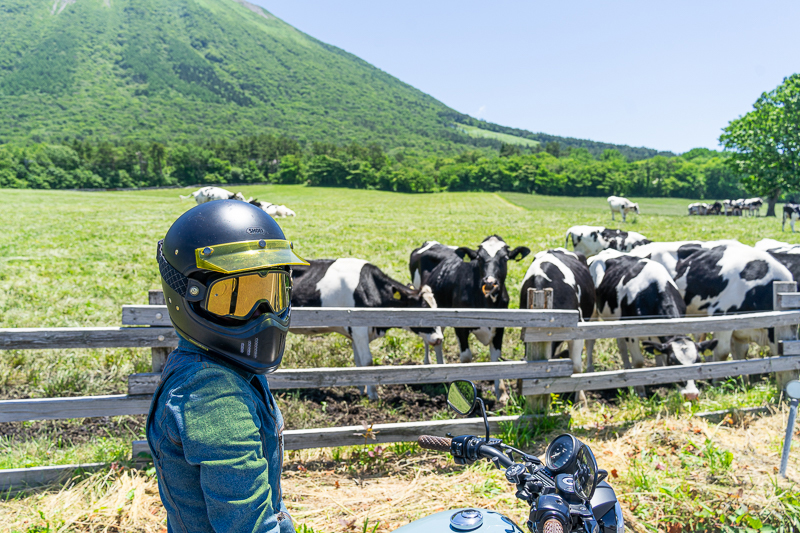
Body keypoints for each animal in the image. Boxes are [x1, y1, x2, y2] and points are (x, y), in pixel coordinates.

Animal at [292, 258, 446, 400]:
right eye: (424, 310)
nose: (439, 339)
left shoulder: (354, 332)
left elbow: (359, 362)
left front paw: (362, 390)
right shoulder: (359, 329)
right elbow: (367, 362)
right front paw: (373, 395)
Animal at [422, 235, 528, 402]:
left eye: (505, 258)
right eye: (479, 258)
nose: (490, 282)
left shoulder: (500, 327)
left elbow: (496, 358)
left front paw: (502, 393)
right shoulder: (460, 326)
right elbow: (466, 358)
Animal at [584, 251, 716, 396]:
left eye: (698, 361)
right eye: (673, 362)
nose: (691, 394)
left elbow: (659, 356)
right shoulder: (632, 334)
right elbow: (639, 362)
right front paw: (640, 392)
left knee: (621, 345)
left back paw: (626, 368)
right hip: (593, 314)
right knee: (590, 341)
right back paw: (590, 369)